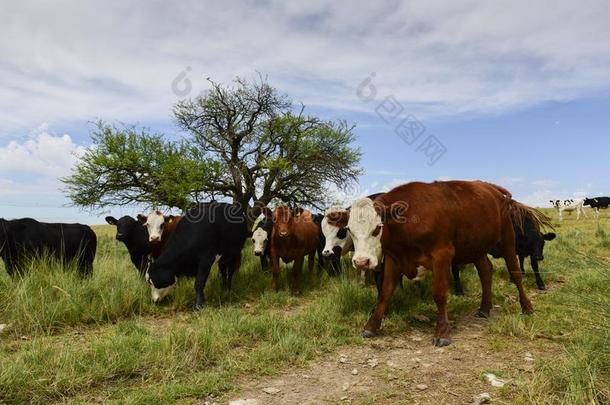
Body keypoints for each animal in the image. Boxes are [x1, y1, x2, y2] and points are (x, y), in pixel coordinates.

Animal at [330, 181, 536, 346]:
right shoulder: (394, 258)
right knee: (486, 271)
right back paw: (485, 308)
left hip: (507, 239)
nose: (361, 262)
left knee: (515, 272)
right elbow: (385, 293)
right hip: (475, 247)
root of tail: (493, 189)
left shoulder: (442, 255)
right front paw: (371, 326)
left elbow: (439, 294)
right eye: (349, 230)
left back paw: (526, 307)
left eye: (377, 228)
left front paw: (442, 332)